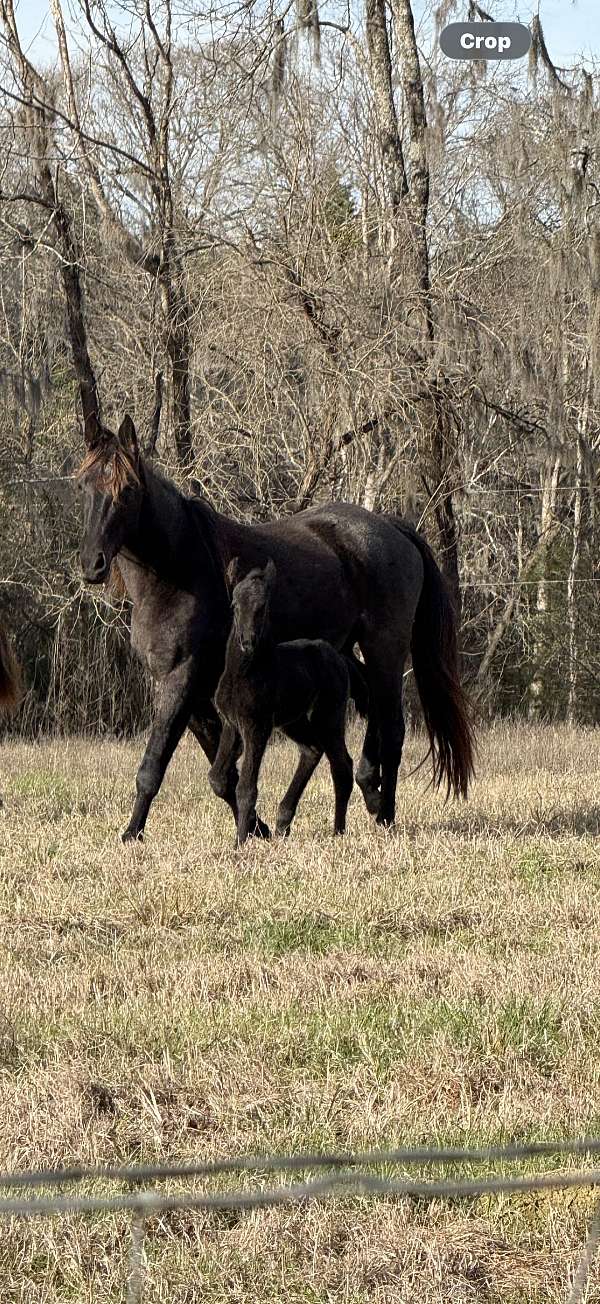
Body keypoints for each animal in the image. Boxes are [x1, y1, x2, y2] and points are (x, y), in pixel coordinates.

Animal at [210, 559, 369, 843]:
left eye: (263, 607)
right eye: (234, 605)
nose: (247, 642)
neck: (245, 673)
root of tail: (340, 657)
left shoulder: (257, 727)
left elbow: (247, 788)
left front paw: (240, 842)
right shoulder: (231, 723)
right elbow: (217, 778)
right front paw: (252, 830)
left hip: (328, 716)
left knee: (341, 766)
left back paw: (338, 830)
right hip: (293, 721)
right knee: (312, 750)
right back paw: (283, 822)